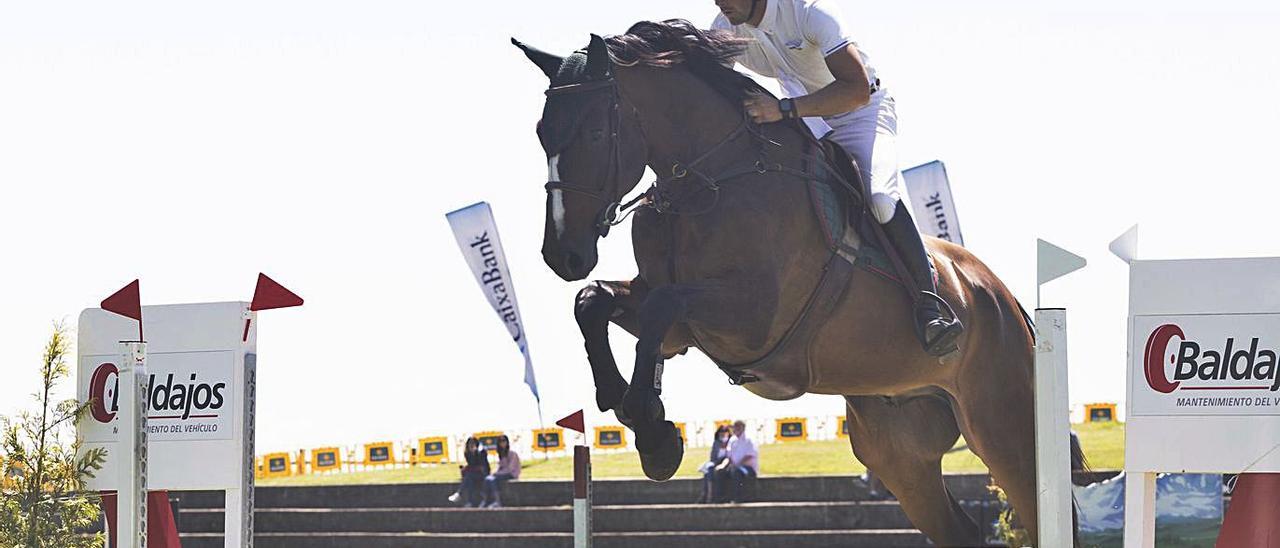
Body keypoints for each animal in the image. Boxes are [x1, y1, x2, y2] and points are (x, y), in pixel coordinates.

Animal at [517, 19, 1070, 545]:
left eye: (593, 134)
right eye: (541, 135)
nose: (562, 255)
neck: (707, 178)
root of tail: (1006, 299)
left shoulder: (754, 318)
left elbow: (661, 306)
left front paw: (652, 433)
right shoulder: (676, 329)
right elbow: (593, 301)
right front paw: (631, 410)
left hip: (1004, 430)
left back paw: (939, 324)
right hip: (898, 449)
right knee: (959, 529)